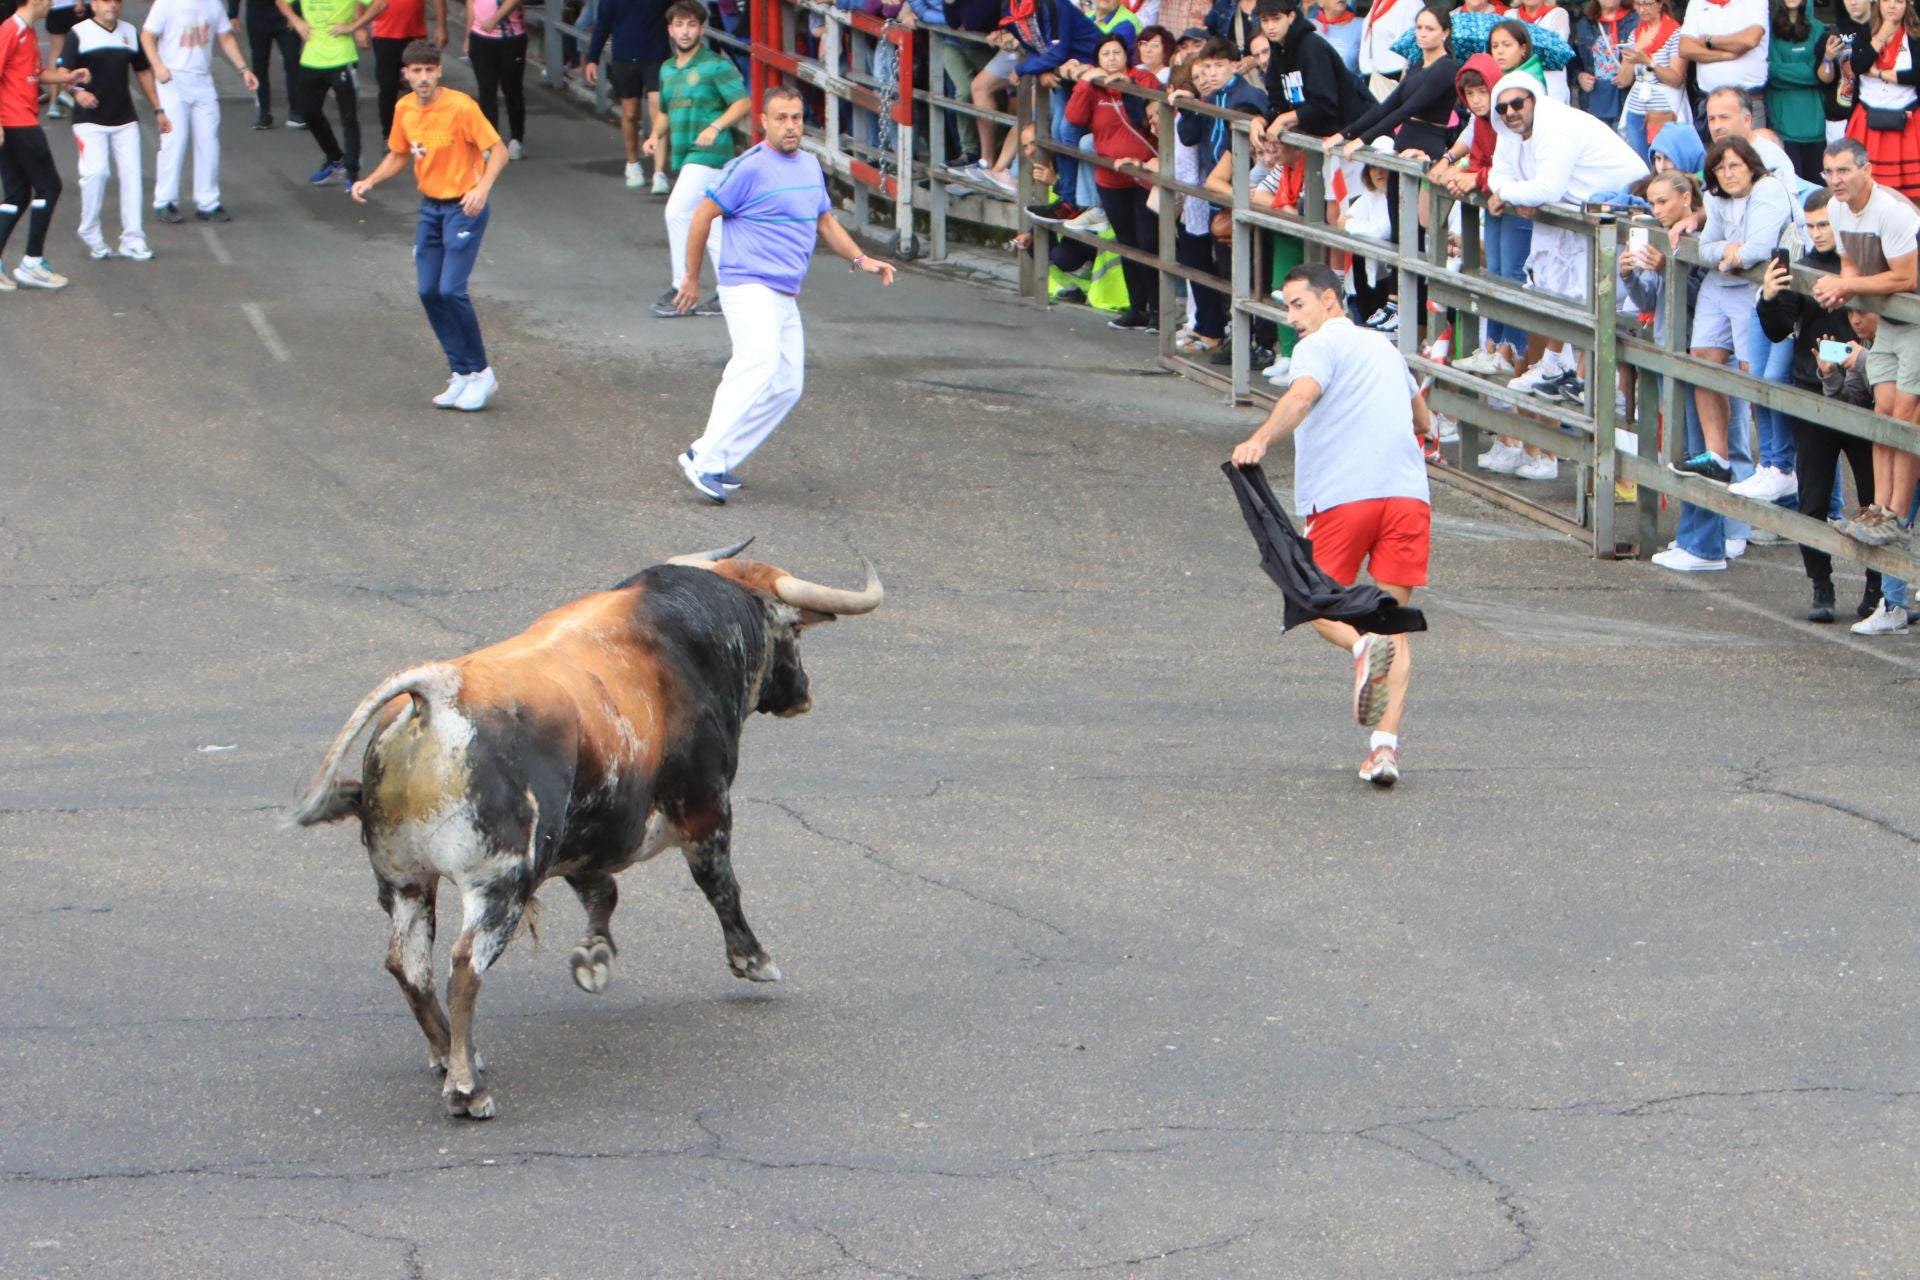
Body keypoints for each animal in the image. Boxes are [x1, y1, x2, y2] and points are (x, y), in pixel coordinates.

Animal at [286, 541, 883, 1120]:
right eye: (795, 632)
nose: (803, 691)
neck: (691, 637)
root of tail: (440, 689)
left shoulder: (583, 838)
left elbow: (603, 894)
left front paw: (594, 956)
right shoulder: (706, 809)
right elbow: (720, 887)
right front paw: (753, 961)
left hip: (405, 880)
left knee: (409, 964)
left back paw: (450, 1056)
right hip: (501, 883)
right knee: (463, 965)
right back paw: (468, 1089)